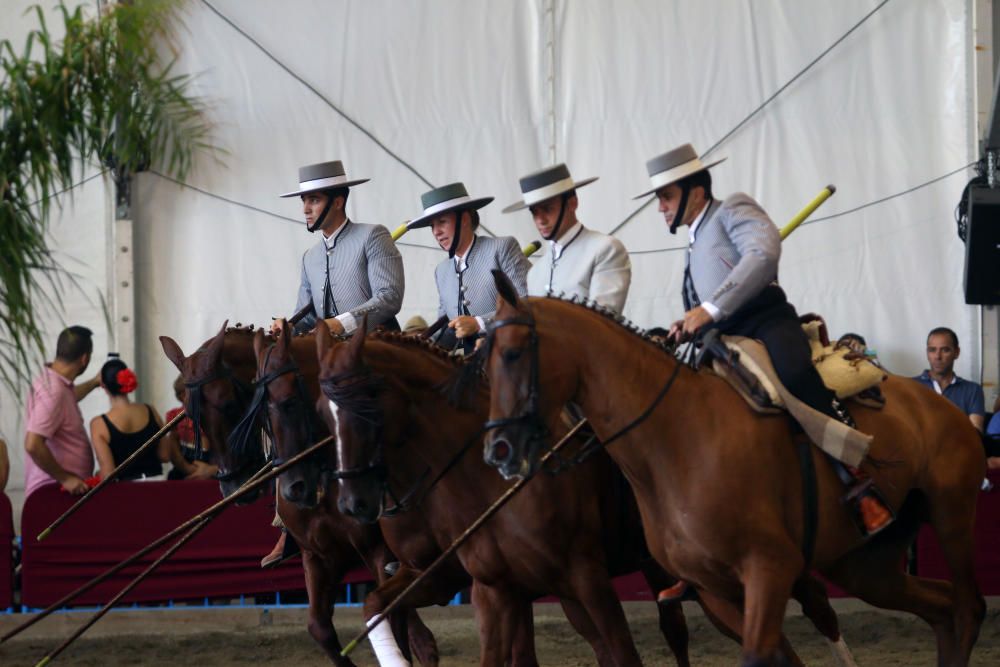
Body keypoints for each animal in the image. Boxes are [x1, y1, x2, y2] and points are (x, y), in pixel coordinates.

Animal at [159, 326, 438, 664]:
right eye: (189, 414)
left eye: (228, 404)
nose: (233, 486)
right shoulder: (318, 555)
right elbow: (320, 629)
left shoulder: (379, 552)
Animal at [482, 274, 984, 664]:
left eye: (512, 353)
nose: (498, 450)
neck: (676, 440)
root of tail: (936, 402)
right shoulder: (715, 589)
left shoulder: (770, 568)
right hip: (865, 564)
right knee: (940, 607)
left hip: (953, 516)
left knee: (968, 608)